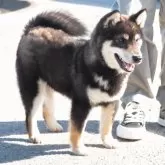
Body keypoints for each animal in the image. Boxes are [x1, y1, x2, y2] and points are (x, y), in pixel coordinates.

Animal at [15, 9, 147, 155]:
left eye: (137, 41)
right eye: (121, 40)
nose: (138, 58)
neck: (105, 70)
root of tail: (32, 29)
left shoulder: (112, 102)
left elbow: (107, 126)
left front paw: (108, 142)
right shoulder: (81, 103)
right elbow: (77, 130)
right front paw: (78, 148)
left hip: (49, 82)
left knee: (46, 107)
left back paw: (53, 125)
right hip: (33, 88)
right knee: (30, 114)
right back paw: (34, 135)